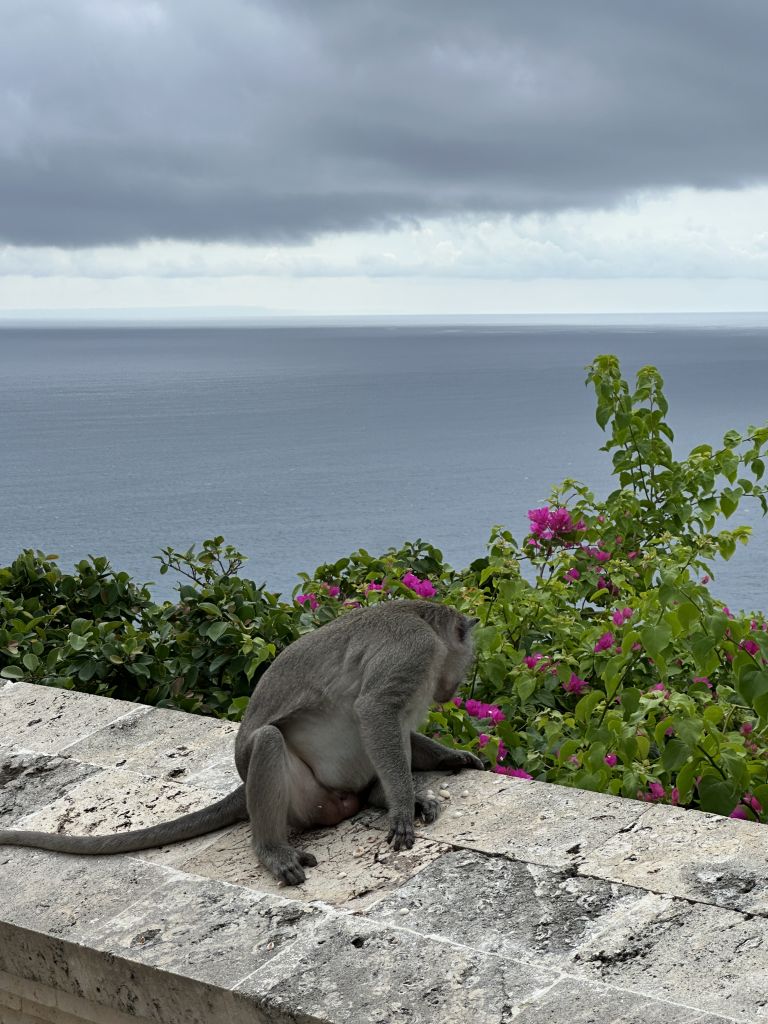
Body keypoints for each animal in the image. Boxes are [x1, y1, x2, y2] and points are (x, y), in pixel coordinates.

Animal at [0, 600, 482, 884]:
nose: (454, 689)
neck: (424, 622)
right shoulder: (413, 651)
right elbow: (377, 712)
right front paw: (400, 808)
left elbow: (396, 727)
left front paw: (449, 759)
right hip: (306, 800)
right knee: (269, 740)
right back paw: (273, 851)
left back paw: (379, 795)